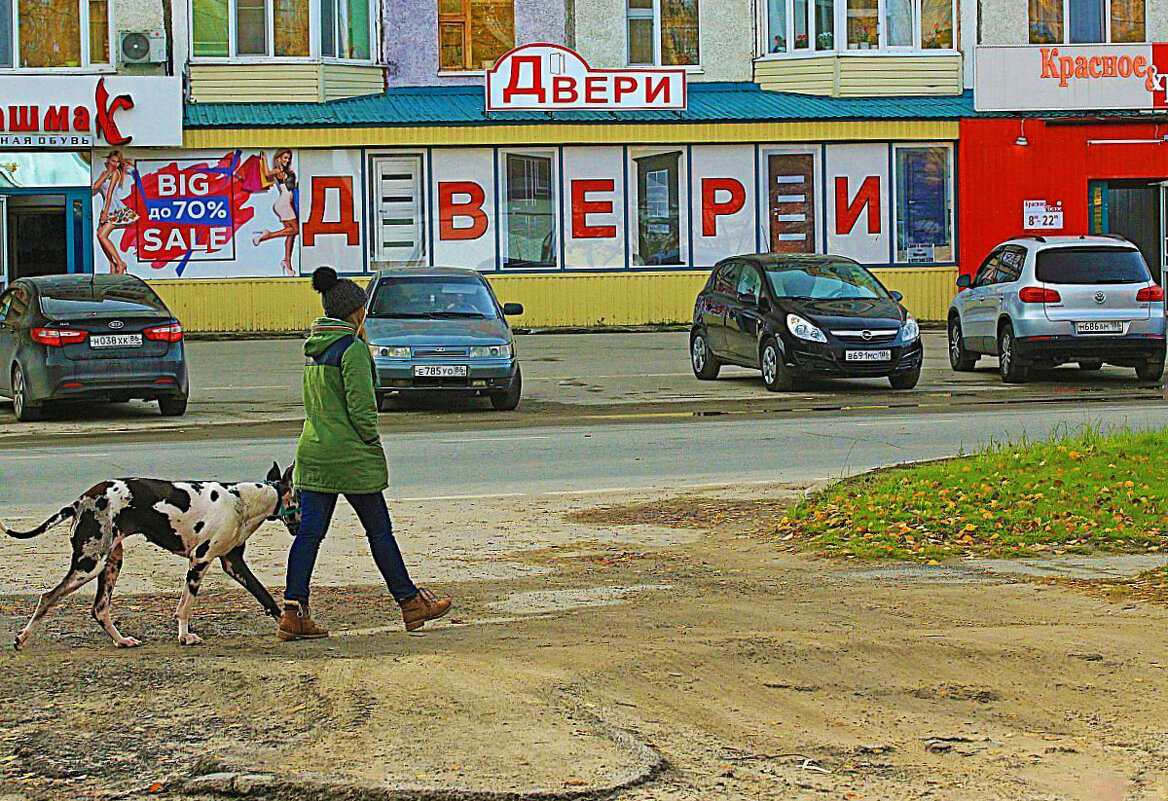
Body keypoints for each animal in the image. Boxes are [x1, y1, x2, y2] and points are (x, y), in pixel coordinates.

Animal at [3, 464, 301, 653]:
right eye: (299, 499)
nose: (301, 525)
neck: (243, 501)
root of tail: (82, 500)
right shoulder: (199, 561)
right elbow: (185, 607)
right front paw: (184, 636)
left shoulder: (233, 564)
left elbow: (266, 597)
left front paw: (289, 625)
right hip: (89, 565)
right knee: (48, 597)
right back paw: (22, 638)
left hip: (111, 564)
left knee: (99, 609)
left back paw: (121, 641)